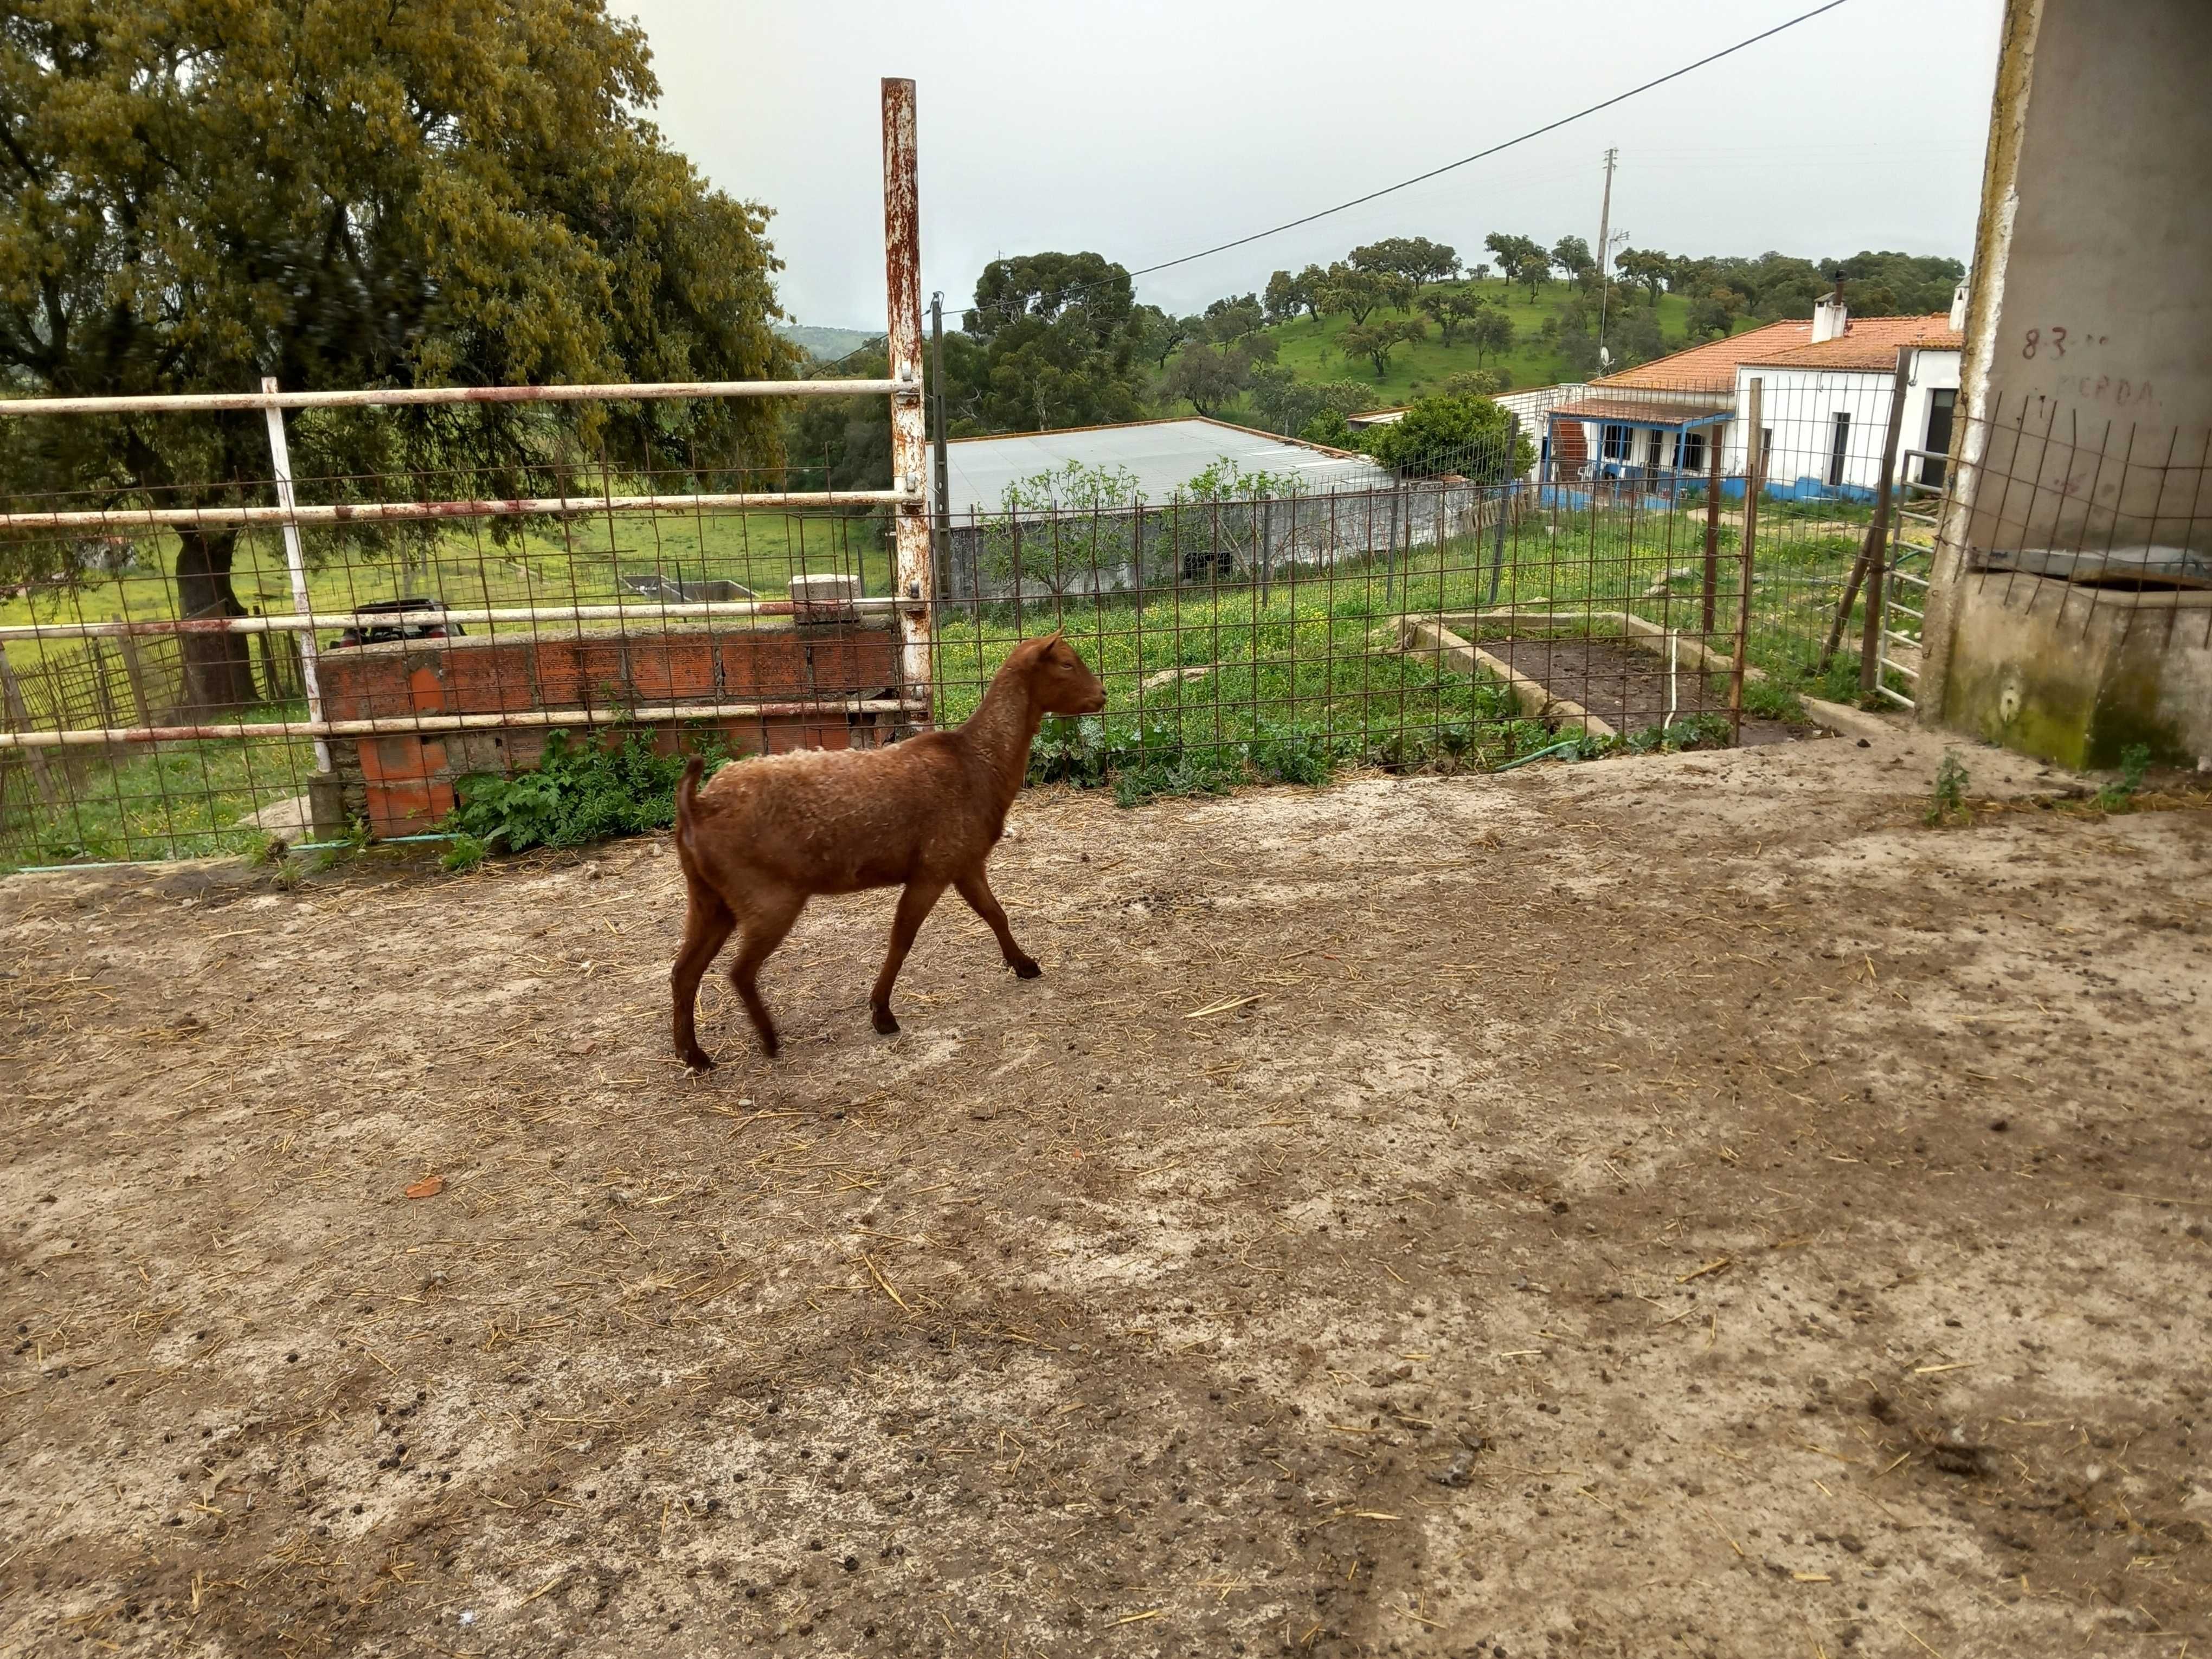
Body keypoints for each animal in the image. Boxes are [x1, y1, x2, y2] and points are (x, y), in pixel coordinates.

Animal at [659, 628, 1101, 1070]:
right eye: (1067, 664)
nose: (1103, 695)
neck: (977, 761)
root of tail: (696, 806)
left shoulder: (965, 862)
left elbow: (996, 914)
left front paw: (1024, 965)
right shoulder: (933, 868)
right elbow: (902, 937)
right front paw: (882, 1013)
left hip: (709, 896)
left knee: (684, 969)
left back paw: (694, 1054)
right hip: (767, 896)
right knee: (739, 971)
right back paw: (768, 1040)